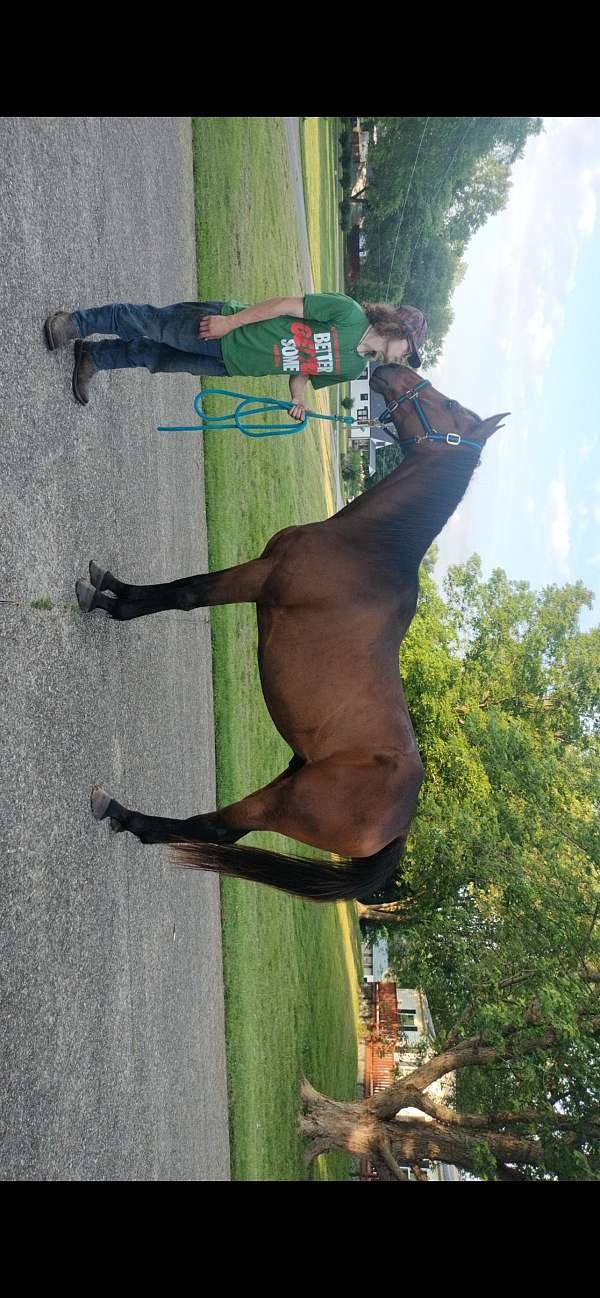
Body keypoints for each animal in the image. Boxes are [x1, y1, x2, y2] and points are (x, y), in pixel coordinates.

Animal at [83, 364, 508, 903]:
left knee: (212, 827)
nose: (390, 368)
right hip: (290, 775)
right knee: (224, 829)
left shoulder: (260, 579)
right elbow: (183, 590)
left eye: (450, 405)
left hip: (288, 804)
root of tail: (400, 826)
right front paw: (110, 588)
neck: (367, 551)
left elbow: (186, 592)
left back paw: (121, 813)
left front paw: (108, 600)